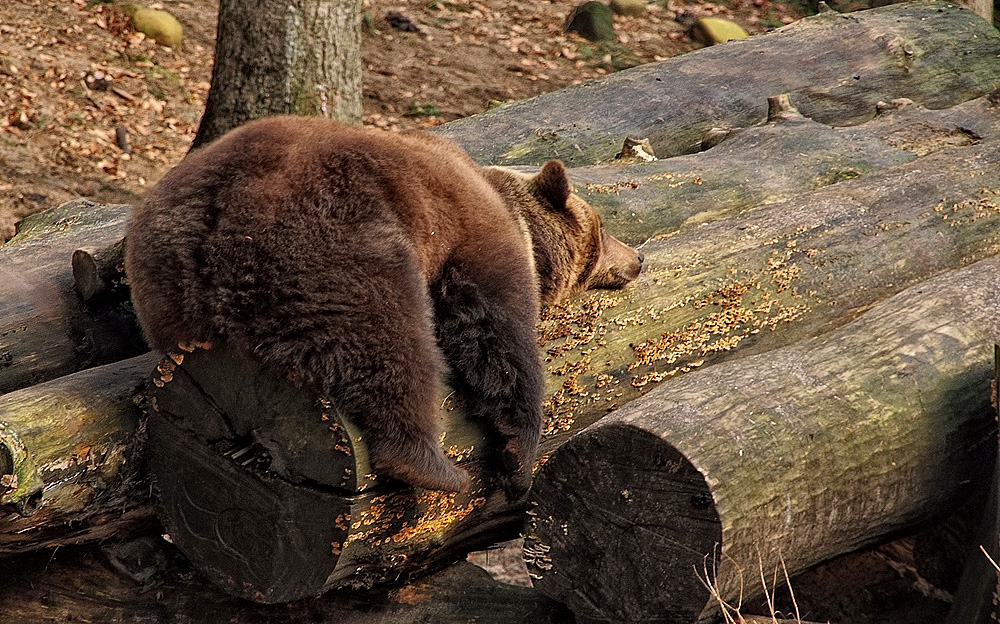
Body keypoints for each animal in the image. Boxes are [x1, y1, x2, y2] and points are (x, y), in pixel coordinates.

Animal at [127, 116, 640, 498]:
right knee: (391, 344)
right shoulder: (474, 233)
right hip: (332, 244)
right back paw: (431, 466)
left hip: (165, 288)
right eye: (602, 230)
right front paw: (518, 457)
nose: (635, 259)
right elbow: (498, 331)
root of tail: (210, 225)